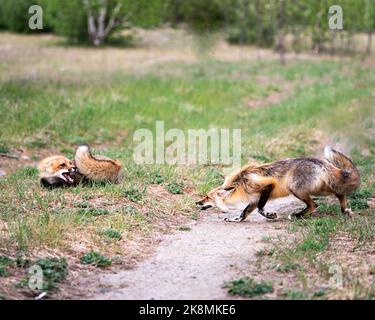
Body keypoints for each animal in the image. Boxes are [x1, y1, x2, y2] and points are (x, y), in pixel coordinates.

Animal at [197, 146, 362, 221]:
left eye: (207, 197)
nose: (196, 202)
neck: (239, 185)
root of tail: (320, 162)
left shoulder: (265, 187)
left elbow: (260, 209)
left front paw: (270, 215)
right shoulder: (253, 199)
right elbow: (243, 214)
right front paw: (234, 219)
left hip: (298, 190)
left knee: (316, 204)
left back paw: (297, 215)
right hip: (317, 188)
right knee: (339, 193)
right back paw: (345, 210)